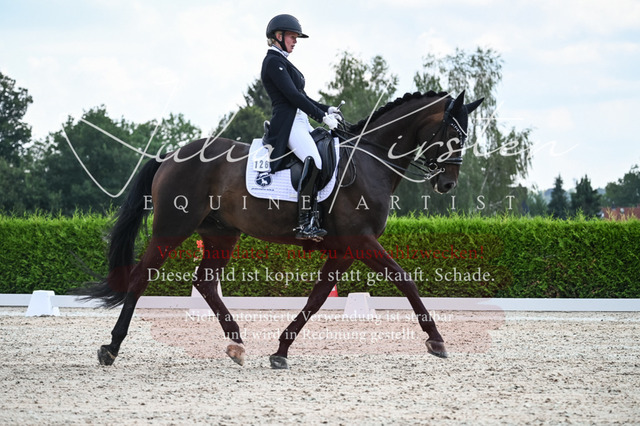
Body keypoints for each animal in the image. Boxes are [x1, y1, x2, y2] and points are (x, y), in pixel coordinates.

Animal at [83, 90, 483, 369]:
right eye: (453, 135)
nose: (447, 184)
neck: (371, 159)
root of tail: (172, 155)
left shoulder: (345, 250)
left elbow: (316, 298)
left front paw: (281, 350)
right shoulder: (361, 241)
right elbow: (405, 279)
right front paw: (436, 340)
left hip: (220, 233)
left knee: (206, 282)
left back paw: (236, 343)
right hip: (172, 227)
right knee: (140, 276)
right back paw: (111, 348)